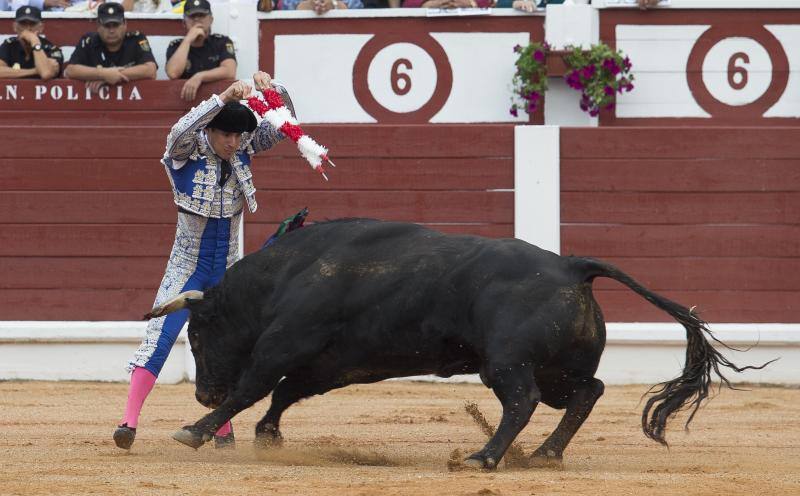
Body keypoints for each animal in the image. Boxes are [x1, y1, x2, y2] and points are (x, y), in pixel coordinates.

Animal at [145, 220, 764, 468]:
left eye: (197, 334)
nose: (201, 394)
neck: (286, 275)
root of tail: (572, 265)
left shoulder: (284, 345)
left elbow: (253, 387)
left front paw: (194, 430)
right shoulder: (330, 364)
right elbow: (282, 395)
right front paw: (268, 437)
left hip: (506, 363)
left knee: (522, 401)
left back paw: (484, 457)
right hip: (558, 369)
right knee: (588, 392)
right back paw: (544, 455)